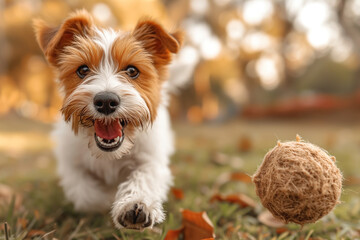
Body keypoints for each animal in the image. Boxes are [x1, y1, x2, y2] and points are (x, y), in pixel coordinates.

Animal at [33, 9, 183, 230]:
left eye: (132, 71)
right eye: (83, 70)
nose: (105, 101)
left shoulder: (151, 160)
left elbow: (144, 178)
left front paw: (135, 204)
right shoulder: (71, 164)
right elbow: (85, 193)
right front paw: (104, 201)